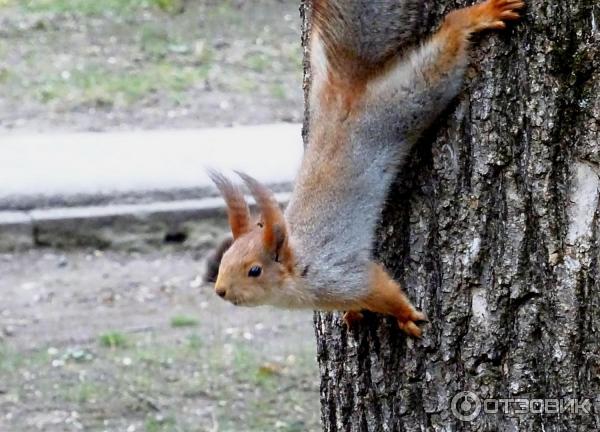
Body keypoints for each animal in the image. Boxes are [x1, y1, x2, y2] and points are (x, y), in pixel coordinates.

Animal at [204, 0, 524, 338]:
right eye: (225, 258)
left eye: (254, 270)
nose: (220, 290)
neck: (298, 265)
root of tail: (345, 89)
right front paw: (353, 314)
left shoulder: (342, 277)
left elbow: (381, 289)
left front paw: (405, 315)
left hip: (407, 100)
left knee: (446, 43)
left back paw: (476, 17)